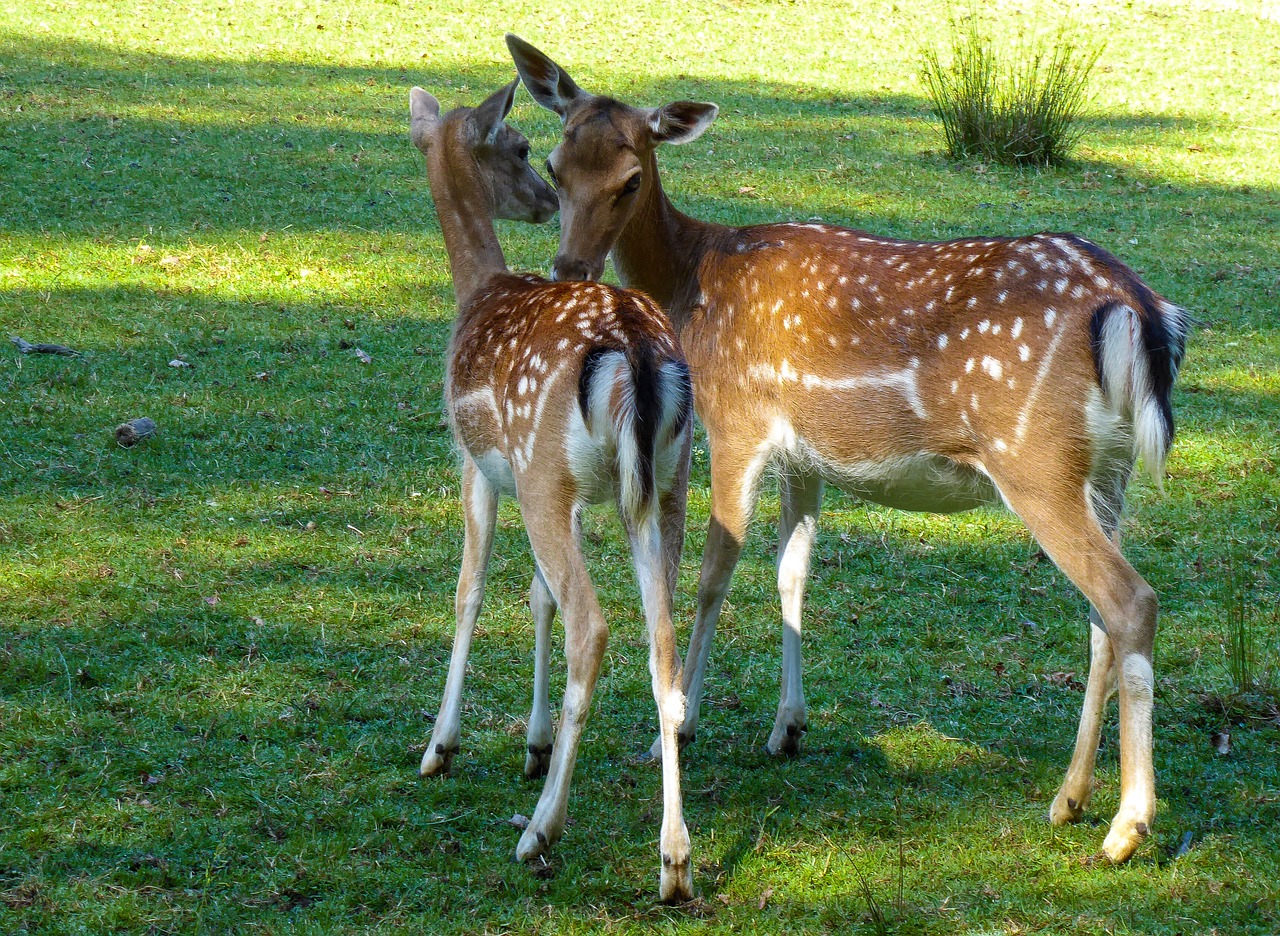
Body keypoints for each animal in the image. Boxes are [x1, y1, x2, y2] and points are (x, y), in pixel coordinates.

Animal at [409, 80, 696, 901]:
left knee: (592, 627)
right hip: (661, 486)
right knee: (662, 641)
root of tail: (636, 352)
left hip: (545, 474)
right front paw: (531, 746)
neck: (475, 290)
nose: (540, 204)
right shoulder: (559, 492)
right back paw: (674, 861)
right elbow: (535, 594)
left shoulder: (478, 461)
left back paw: (540, 831)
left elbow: (470, 588)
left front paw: (439, 747)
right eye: (526, 151)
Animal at [506, 36, 1187, 865]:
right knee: (1100, 618)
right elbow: (792, 572)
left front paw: (684, 722)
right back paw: (1070, 798)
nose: (569, 269)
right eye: (553, 164)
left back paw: (1127, 825)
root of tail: (1141, 311)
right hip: (1107, 471)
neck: (692, 282)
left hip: (1035, 460)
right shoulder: (806, 457)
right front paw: (787, 727)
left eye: (631, 177)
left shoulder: (736, 420)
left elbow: (712, 573)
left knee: (1131, 600)